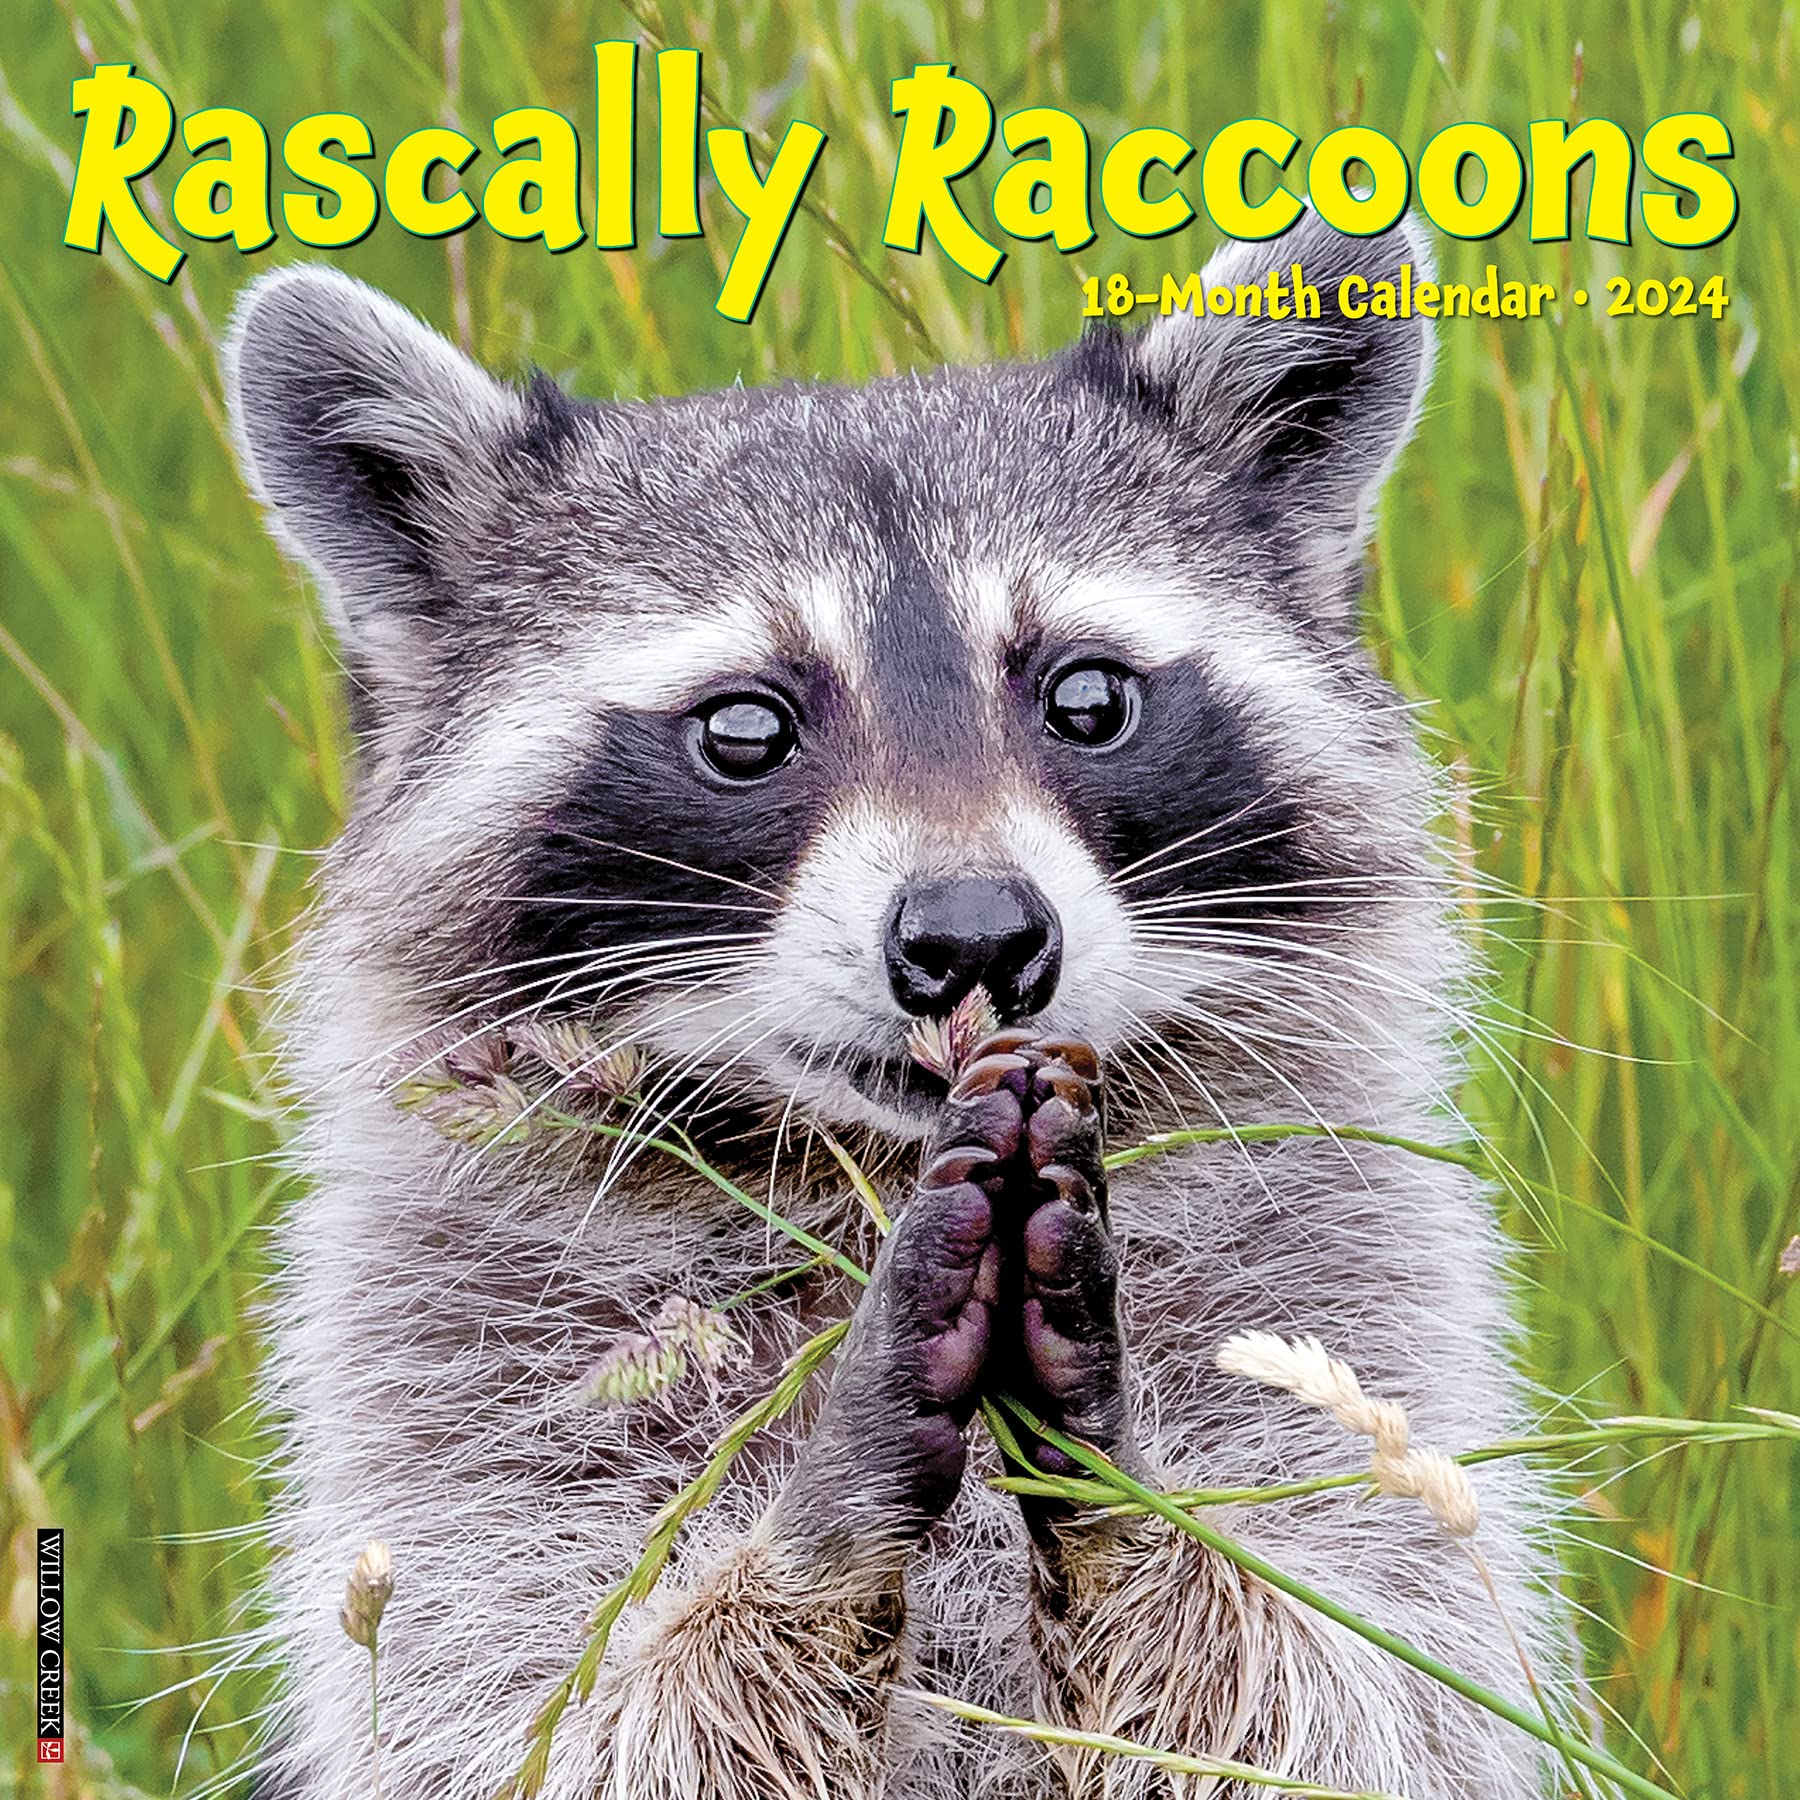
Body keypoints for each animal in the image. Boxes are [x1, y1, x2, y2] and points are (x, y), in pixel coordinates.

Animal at [225, 208, 1560, 1799]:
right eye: (745, 728)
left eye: (1089, 699)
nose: (975, 936)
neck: (859, 1164)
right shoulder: (456, 1380)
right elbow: (549, 1724)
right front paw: (811, 1528)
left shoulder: (1349, 1282)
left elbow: (1365, 1692)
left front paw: (1127, 1490)